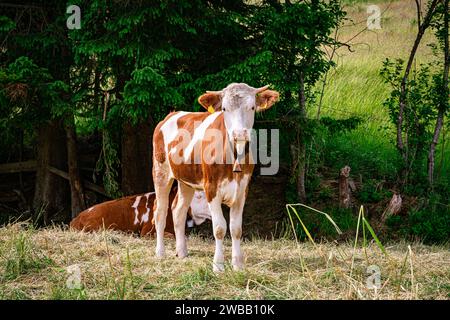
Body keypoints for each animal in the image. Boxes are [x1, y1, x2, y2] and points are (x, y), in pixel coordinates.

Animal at [152, 83, 278, 272]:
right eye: (224, 108)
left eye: (252, 107)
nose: (239, 134)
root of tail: (172, 114)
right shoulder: (211, 188)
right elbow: (219, 228)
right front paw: (218, 265)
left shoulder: (242, 190)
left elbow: (236, 228)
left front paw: (237, 264)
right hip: (161, 172)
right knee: (160, 211)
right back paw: (160, 253)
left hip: (186, 181)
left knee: (178, 210)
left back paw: (182, 252)